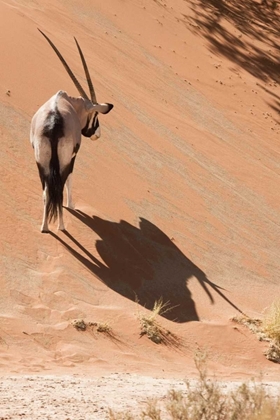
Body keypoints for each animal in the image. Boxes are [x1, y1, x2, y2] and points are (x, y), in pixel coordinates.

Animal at [30, 29, 113, 233]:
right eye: (95, 115)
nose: (97, 134)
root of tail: (55, 123)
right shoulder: (73, 158)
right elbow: (70, 180)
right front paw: (72, 205)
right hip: (63, 161)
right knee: (59, 187)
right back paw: (60, 226)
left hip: (41, 162)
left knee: (47, 190)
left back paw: (44, 227)